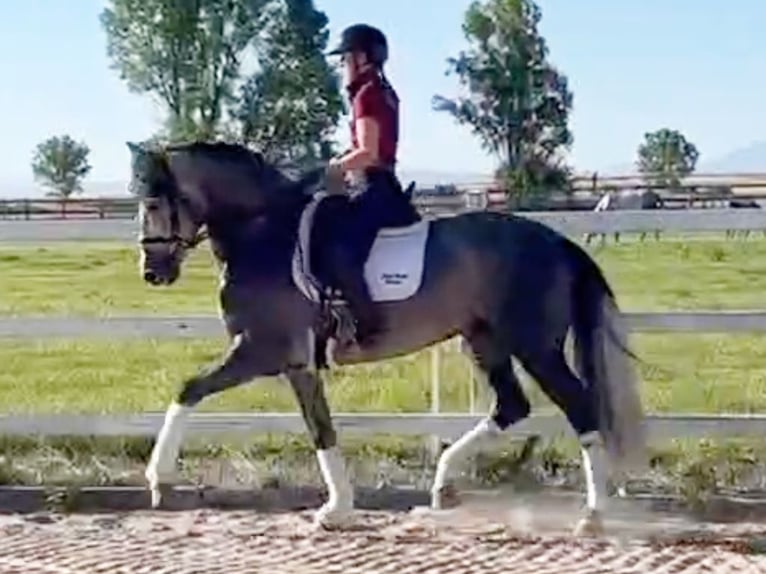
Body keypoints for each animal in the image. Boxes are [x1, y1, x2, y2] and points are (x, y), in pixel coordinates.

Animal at [129, 141, 644, 540]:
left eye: (153, 205)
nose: (152, 273)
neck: (262, 233)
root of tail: (557, 242)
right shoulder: (283, 358)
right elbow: (297, 419)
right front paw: (339, 507)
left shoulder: (270, 351)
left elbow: (217, 397)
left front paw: (160, 478)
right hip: (484, 341)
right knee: (511, 406)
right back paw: (444, 485)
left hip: (534, 345)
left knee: (579, 406)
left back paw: (593, 517)